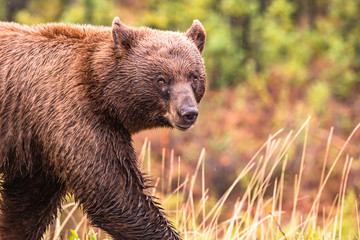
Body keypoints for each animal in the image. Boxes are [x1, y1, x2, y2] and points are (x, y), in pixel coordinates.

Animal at [0, 15, 205, 239]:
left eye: (194, 76)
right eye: (161, 80)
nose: (188, 112)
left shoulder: (39, 147)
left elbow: (28, 206)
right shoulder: (76, 116)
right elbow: (114, 194)